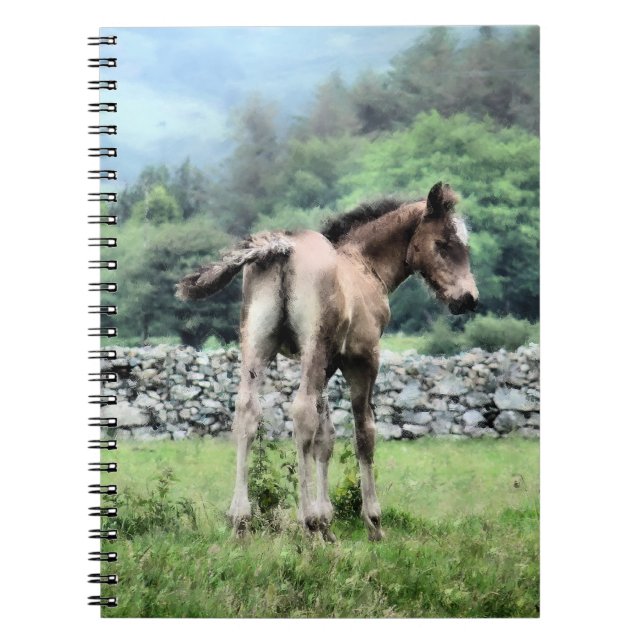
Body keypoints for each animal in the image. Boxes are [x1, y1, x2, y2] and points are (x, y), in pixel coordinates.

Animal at [177, 182, 479, 541]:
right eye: (443, 244)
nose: (468, 299)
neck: (364, 265)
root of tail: (281, 248)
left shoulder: (327, 363)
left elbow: (326, 438)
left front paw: (327, 525)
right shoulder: (361, 358)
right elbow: (363, 433)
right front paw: (371, 522)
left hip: (257, 344)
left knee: (248, 411)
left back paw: (241, 521)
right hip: (313, 346)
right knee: (301, 413)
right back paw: (305, 521)